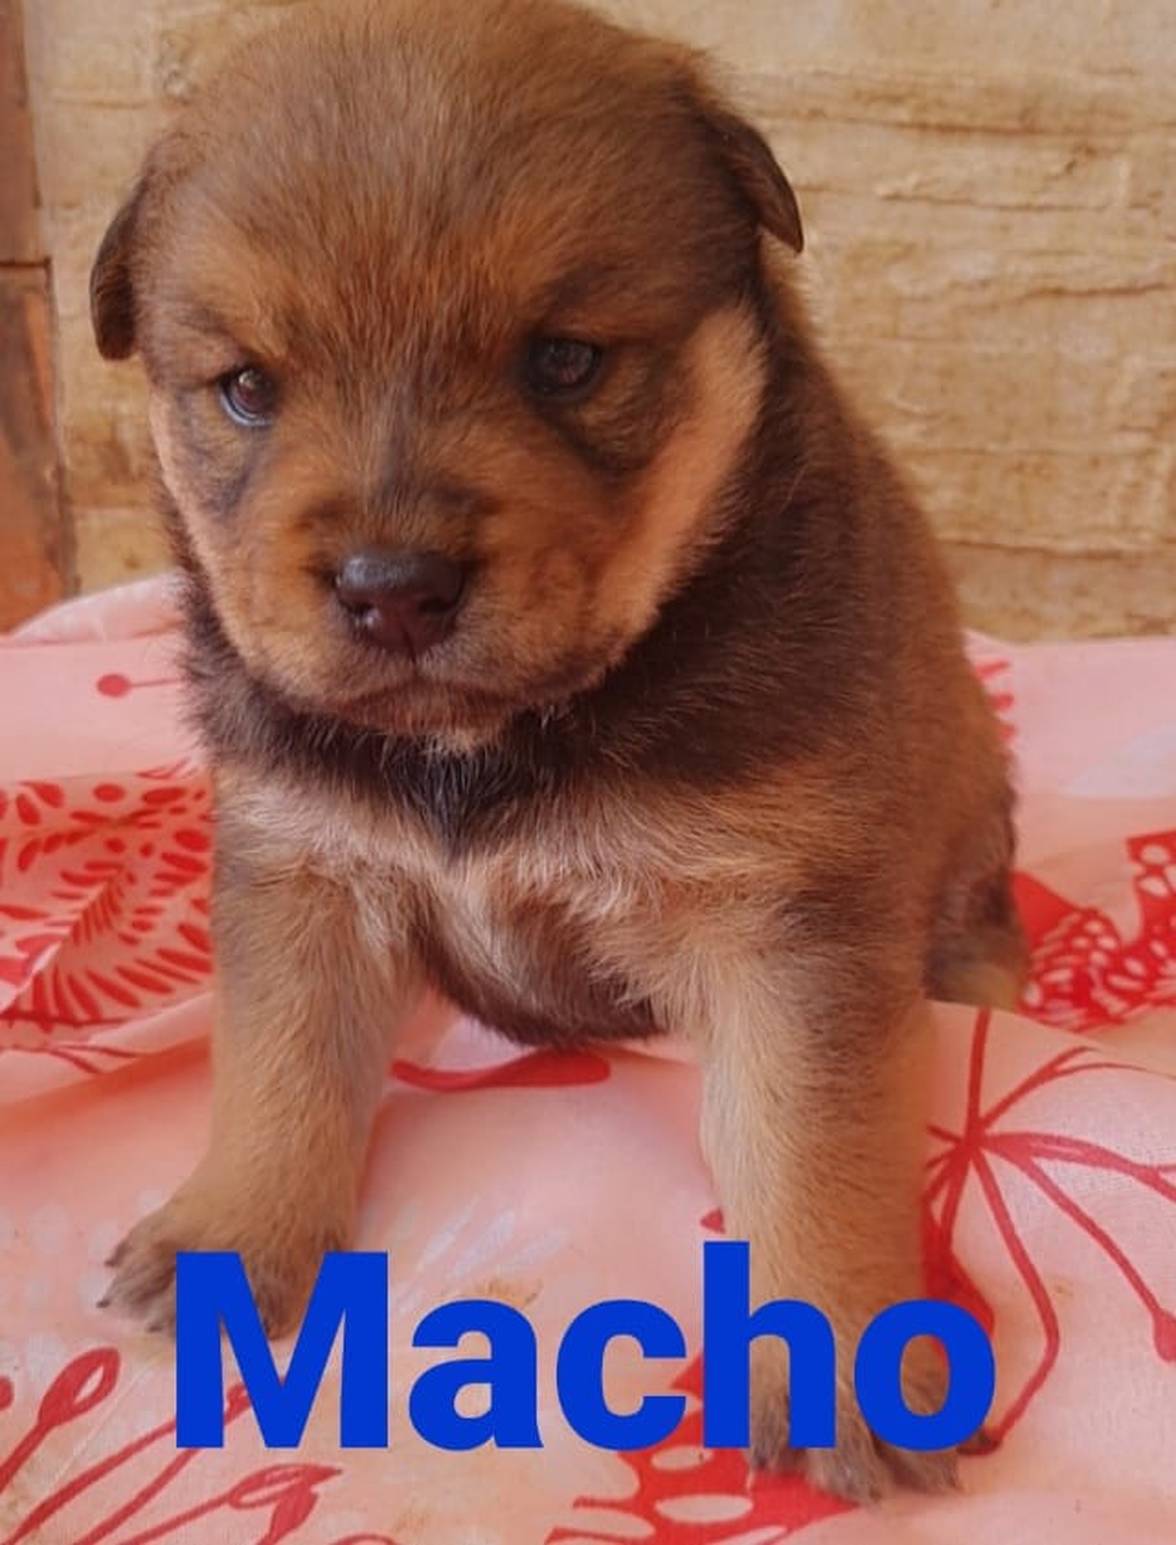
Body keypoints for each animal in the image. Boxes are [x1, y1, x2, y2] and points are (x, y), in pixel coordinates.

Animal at [90, 0, 1026, 1501]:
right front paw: (229, 1238)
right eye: (244, 390)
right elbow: (278, 1073)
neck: (486, 744)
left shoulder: (790, 931)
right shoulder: (304, 874)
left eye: (566, 360)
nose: (393, 587)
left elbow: (810, 1148)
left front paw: (844, 1356)